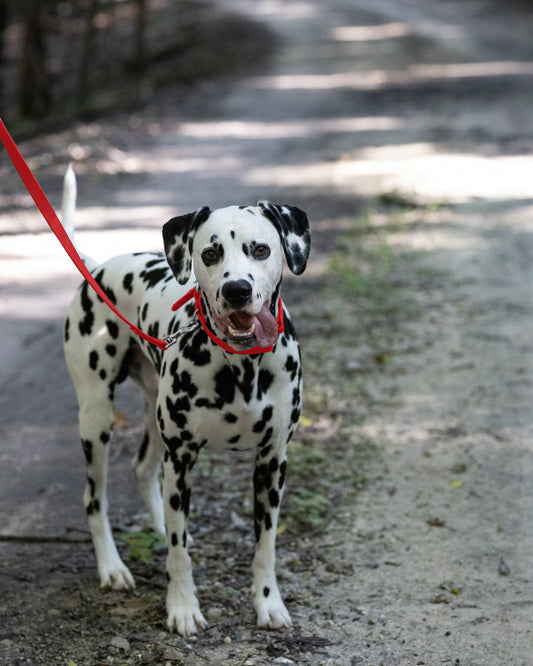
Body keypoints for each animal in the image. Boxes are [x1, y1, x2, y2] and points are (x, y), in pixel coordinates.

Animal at [62, 175, 310, 632]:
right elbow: (178, 555)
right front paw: (181, 607)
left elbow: (265, 547)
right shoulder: (181, 459)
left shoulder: (272, 462)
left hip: (153, 416)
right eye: (210, 253)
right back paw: (112, 567)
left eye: (261, 250)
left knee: (143, 470)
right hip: (96, 417)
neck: (240, 366)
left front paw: (268, 603)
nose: (237, 290)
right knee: (94, 498)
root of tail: (99, 267)